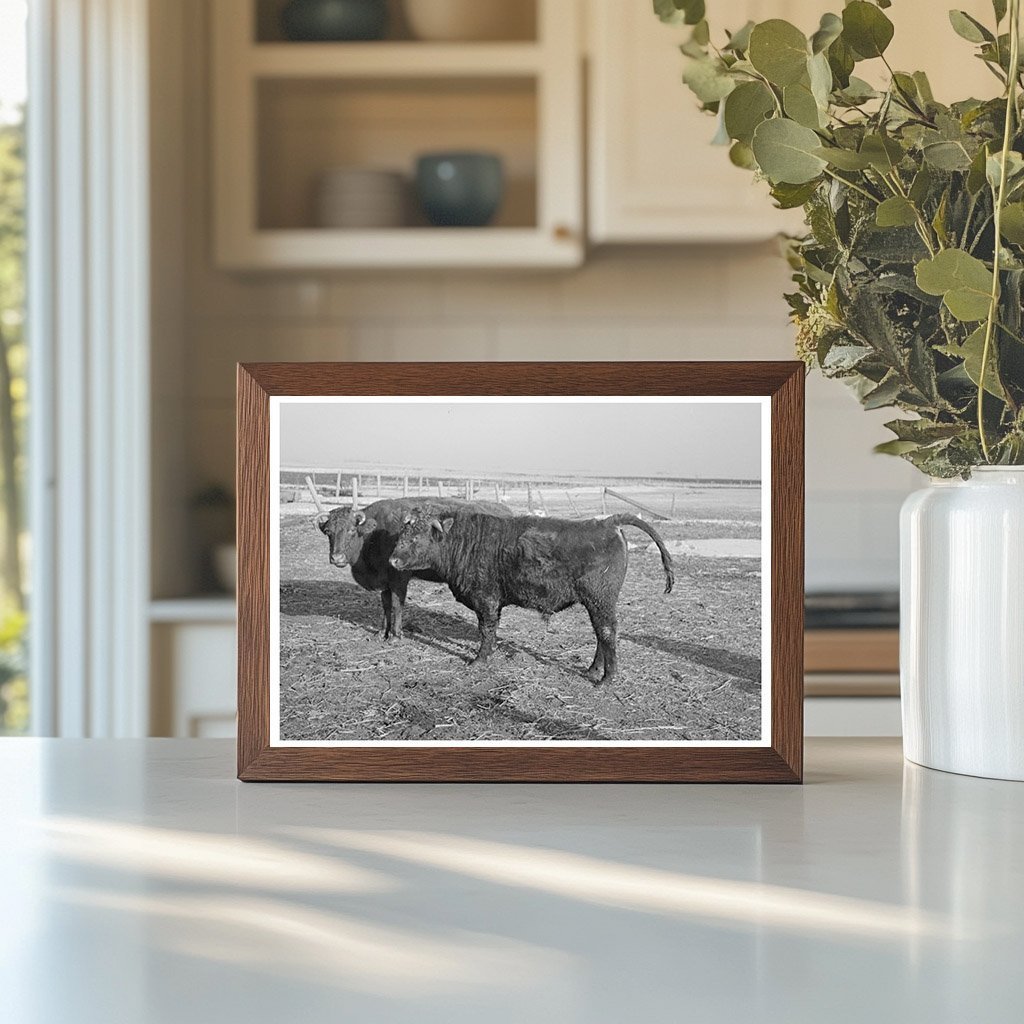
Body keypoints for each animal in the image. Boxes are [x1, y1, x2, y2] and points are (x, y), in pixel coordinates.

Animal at [316, 497, 510, 640]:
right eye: (328, 532)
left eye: (351, 530)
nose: (337, 558)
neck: (373, 534)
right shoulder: (385, 583)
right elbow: (386, 605)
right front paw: (381, 632)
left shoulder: (399, 579)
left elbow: (397, 605)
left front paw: (395, 635)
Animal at [389, 510, 675, 682]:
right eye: (402, 534)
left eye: (416, 538)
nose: (392, 560)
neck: (465, 541)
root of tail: (607, 522)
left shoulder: (487, 600)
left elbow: (486, 630)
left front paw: (480, 660)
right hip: (597, 603)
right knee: (601, 634)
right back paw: (593, 669)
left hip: (600, 600)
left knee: (607, 632)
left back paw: (606, 679)